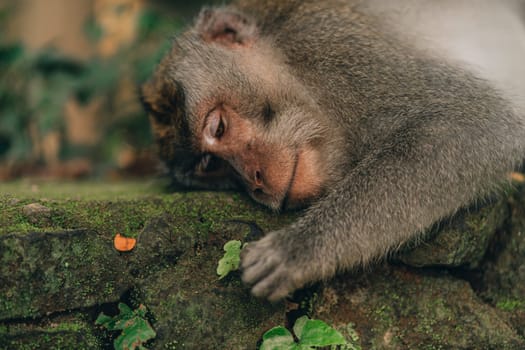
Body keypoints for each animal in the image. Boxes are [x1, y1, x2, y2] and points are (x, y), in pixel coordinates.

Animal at [139, 0, 524, 300]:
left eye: (218, 128)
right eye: (211, 166)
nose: (255, 181)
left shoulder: (336, 49)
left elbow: (469, 122)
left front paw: (298, 250)